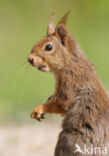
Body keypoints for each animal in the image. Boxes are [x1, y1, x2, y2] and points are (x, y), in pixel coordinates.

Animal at [27, 11, 109, 155]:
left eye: (48, 47)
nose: (29, 59)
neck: (70, 62)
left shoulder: (70, 81)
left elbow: (61, 103)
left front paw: (40, 108)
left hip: (68, 141)